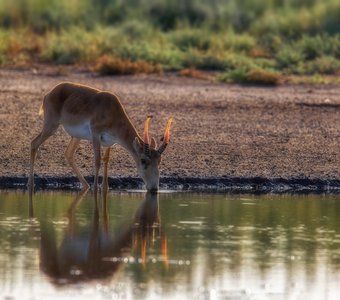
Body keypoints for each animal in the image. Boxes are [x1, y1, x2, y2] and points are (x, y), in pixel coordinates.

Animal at [28, 82, 173, 196]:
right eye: (143, 160)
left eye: (159, 160)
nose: (154, 188)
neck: (112, 112)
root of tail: (49, 93)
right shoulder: (95, 135)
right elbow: (97, 161)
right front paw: (96, 190)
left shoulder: (110, 143)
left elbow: (106, 161)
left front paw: (105, 188)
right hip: (51, 126)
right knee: (34, 143)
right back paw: (31, 184)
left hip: (76, 136)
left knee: (68, 154)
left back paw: (86, 186)